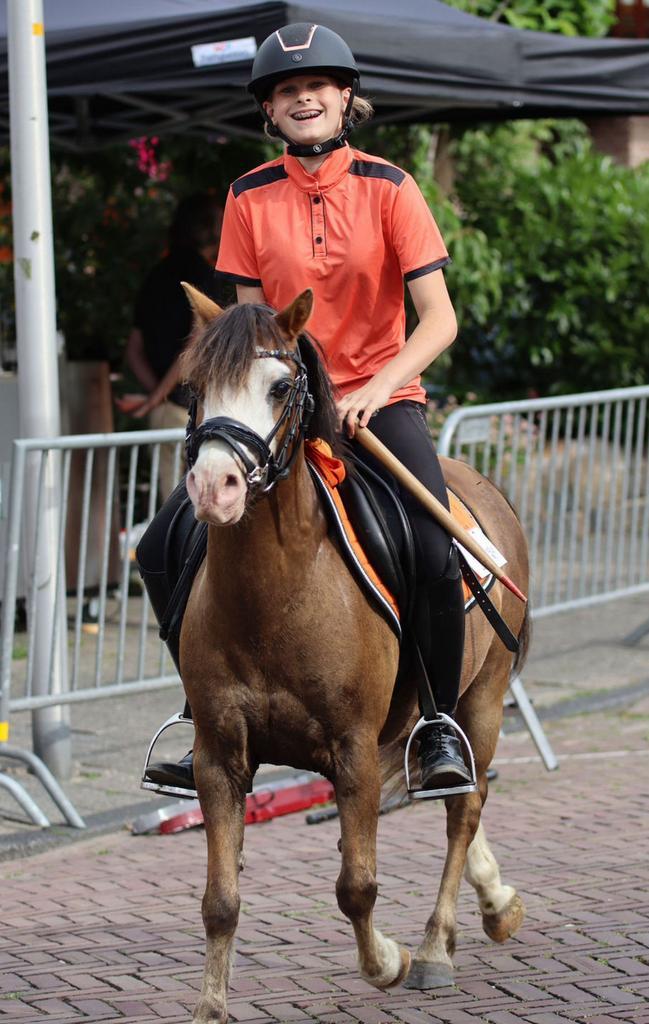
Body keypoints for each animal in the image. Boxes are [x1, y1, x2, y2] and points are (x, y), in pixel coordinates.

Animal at [176, 284, 529, 1024]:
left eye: (280, 387)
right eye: (193, 388)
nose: (214, 486)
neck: (277, 595)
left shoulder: (353, 748)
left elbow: (356, 885)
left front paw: (390, 961)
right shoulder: (219, 756)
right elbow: (220, 901)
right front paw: (210, 1007)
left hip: (481, 699)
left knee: (464, 807)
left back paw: (434, 948)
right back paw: (493, 903)